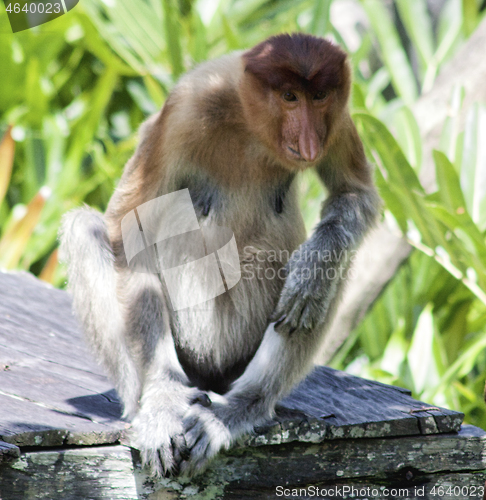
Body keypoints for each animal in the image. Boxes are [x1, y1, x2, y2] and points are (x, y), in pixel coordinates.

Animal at [59, 32, 380, 476]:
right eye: (289, 96)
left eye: (318, 96)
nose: (310, 142)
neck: (249, 121)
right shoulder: (185, 109)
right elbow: (126, 234)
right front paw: (162, 404)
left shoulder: (339, 116)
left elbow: (353, 192)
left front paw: (312, 273)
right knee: (85, 229)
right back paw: (152, 404)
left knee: (336, 266)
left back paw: (235, 410)